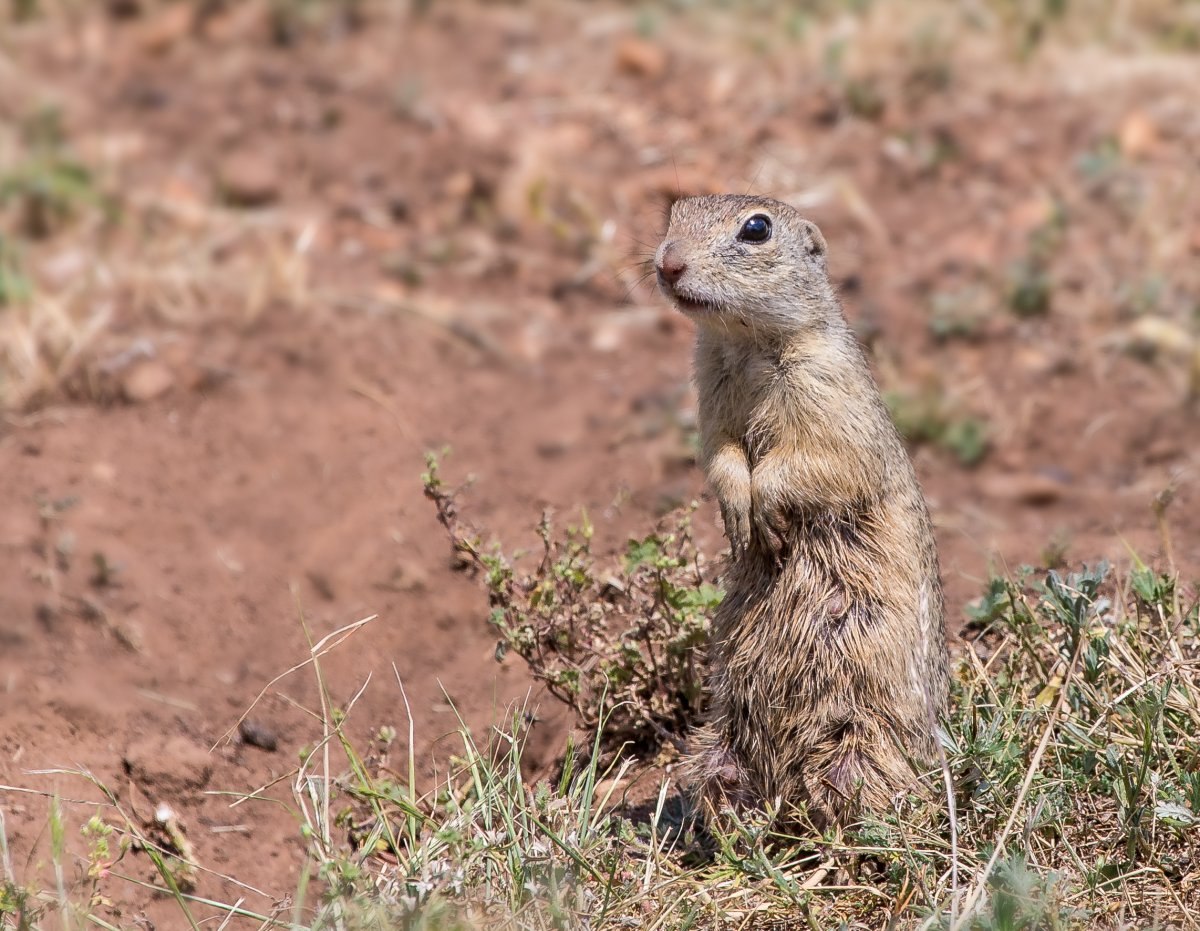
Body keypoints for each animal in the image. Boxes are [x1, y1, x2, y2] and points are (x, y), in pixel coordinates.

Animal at [652, 194, 950, 830]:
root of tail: (783, 787)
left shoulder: (826, 389)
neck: (744, 346)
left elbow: (814, 461)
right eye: (676, 210)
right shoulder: (710, 397)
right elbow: (720, 454)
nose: (667, 263)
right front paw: (738, 512)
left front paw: (763, 508)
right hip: (720, 739)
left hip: (862, 736)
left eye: (756, 229)